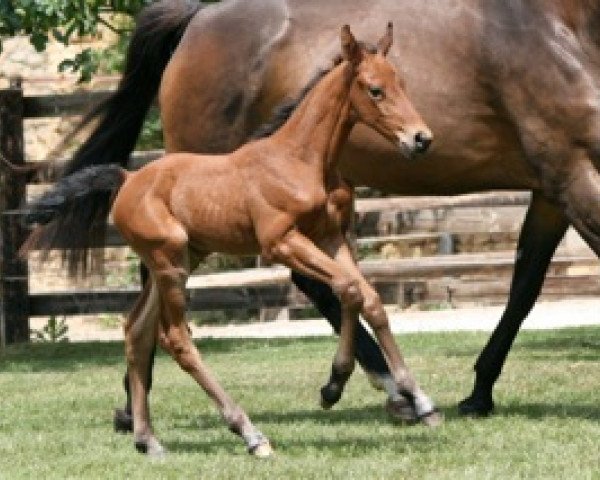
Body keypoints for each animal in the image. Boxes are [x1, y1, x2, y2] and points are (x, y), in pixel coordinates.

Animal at [25, 23, 440, 458]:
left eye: (402, 83)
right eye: (375, 90)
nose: (421, 138)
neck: (301, 159)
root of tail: (127, 178)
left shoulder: (329, 237)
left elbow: (366, 298)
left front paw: (414, 398)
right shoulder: (281, 243)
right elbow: (348, 288)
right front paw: (340, 386)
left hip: (181, 259)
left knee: (136, 329)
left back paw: (147, 439)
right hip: (170, 262)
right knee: (176, 339)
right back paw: (249, 433)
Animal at [48, 0, 600, 418]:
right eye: (377, 88)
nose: (420, 138)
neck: (559, 27)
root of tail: (197, 18)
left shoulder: (552, 190)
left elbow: (524, 288)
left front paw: (480, 393)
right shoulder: (572, 173)